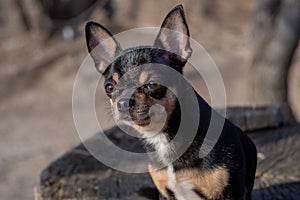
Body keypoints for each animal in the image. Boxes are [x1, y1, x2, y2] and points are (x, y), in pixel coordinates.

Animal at [85, 4, 258, 200]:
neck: (162, 136)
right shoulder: (165, 194)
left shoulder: (229, 193)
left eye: (153, 84)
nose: (122, 103)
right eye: (109, 87)